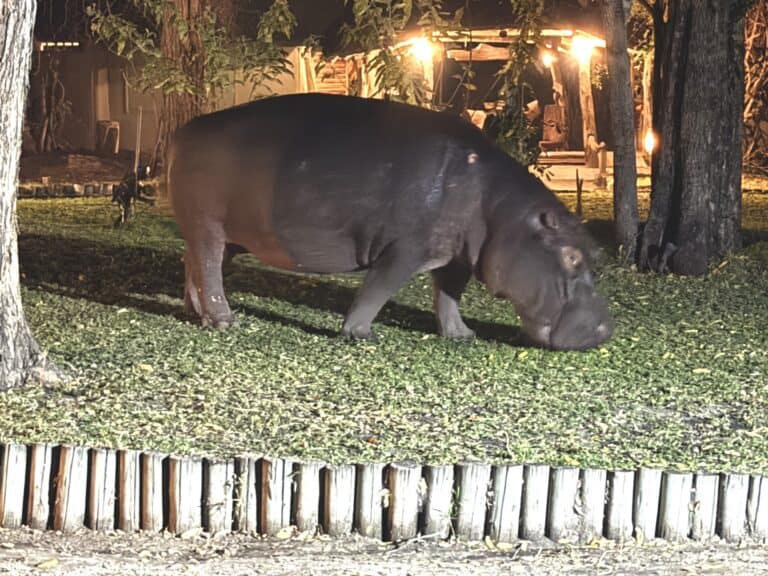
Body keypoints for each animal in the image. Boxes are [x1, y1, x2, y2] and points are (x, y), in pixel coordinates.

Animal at [167, 93, 613, 350]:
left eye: (595, 251)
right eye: (573, 258)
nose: (605, 329)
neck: (502, 210)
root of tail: (183, 130)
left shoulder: (454, 255)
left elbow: (448, 295)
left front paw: (462, 335)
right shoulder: (405, 248)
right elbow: (378, 289)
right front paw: (361, 335)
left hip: (220, 234)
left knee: (196, 267)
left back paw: (195, 313)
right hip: (209, 226)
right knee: (208, 268)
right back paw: (224, 322)